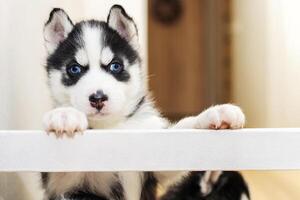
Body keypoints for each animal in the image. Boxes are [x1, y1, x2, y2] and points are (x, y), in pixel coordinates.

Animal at [41, 4, 248, 200]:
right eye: (74, 69)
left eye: (115, 66)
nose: (98, 98)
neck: (111, 127)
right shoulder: (63, 183)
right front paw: (65, 114)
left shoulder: (152, 157)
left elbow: (184, 128)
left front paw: (215, 113)